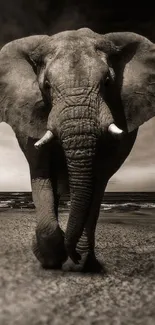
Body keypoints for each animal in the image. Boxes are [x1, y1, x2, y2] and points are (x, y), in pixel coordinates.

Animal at [0, 27, 154, 270]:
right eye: (46, 86)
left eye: (108, 82)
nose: (72, 255)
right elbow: (41, 172)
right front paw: (51, 259)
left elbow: (97, 179)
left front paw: (78, 259)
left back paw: (85, 263)